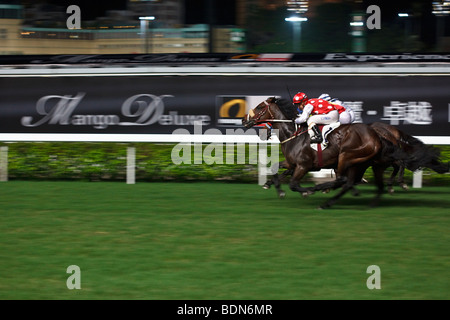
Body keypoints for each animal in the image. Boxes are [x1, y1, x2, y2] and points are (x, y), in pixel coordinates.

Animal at [243, 96, 400, 209]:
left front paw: (307, 191)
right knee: (349, 182)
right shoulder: (291, 163)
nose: (244, 119)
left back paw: (321, 192)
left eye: (259, 107)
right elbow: (274, 168)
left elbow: (293, 184)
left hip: (347, 156)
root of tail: (376, 136)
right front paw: (278, 189)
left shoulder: (303, 165)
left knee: (343, 180)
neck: (293, 134)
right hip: (363, 163)